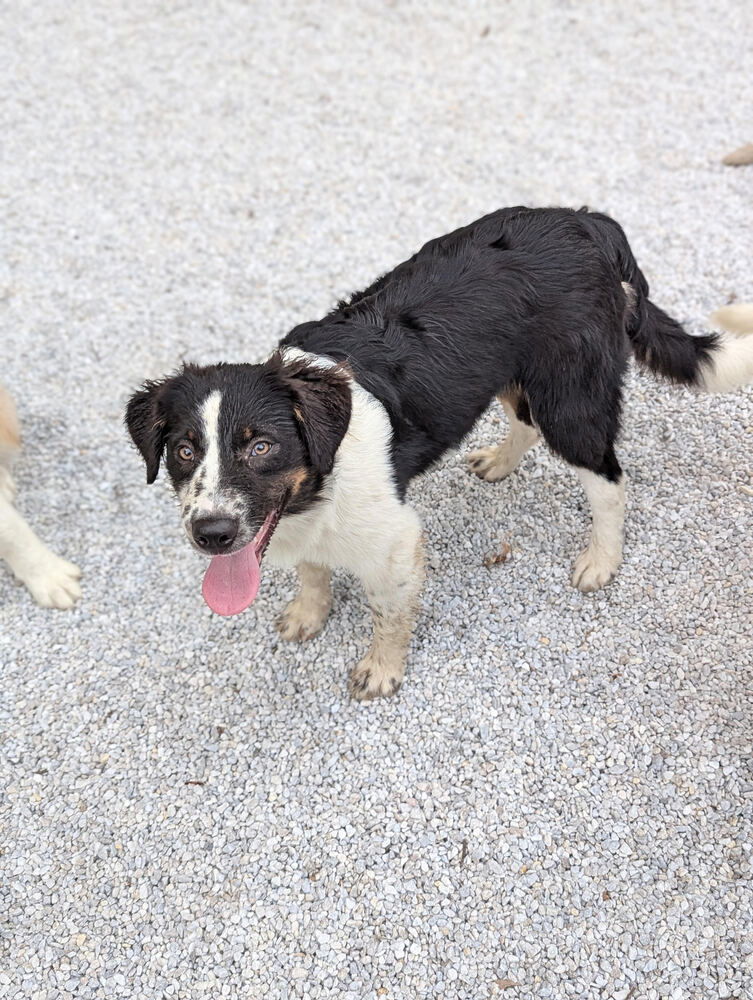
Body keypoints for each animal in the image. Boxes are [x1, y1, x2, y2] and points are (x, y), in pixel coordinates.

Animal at [126, 207, 748, 700]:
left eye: (261, 446)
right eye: (184, 450)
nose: (211, 534)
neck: (321, 480)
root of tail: (587, 222)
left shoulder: (396, 540)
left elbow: (388, 612)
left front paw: (381, 669)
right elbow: (311, 570)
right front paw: (309, 612)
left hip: (570, 402)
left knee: (609, 480)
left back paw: (601, 559)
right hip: (510, 374)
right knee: (523, 422)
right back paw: (500, 461)